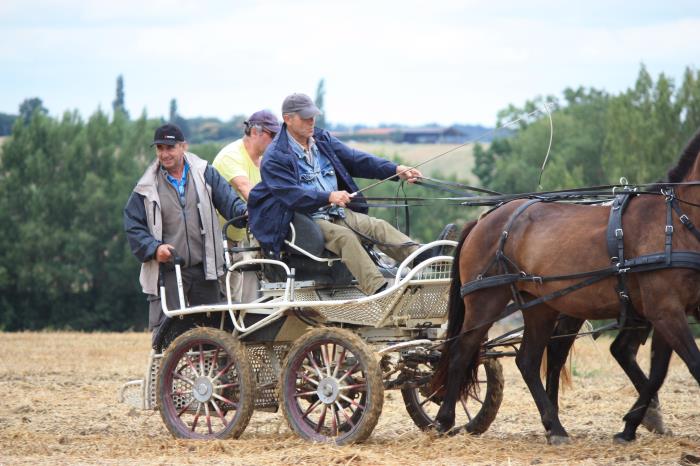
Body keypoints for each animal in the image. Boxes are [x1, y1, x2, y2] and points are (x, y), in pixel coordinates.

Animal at [432, 127, 700, 444]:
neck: (677, 223)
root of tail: (482, 220)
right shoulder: (665, 310)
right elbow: (691, 364)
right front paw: (634, 424)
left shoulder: (673, 310)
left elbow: (659, 371)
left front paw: (631, 425)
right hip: (486, 301)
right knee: (462, 351)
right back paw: (444, 420)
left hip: (541, 307)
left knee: (528, 361)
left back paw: (554, 426)